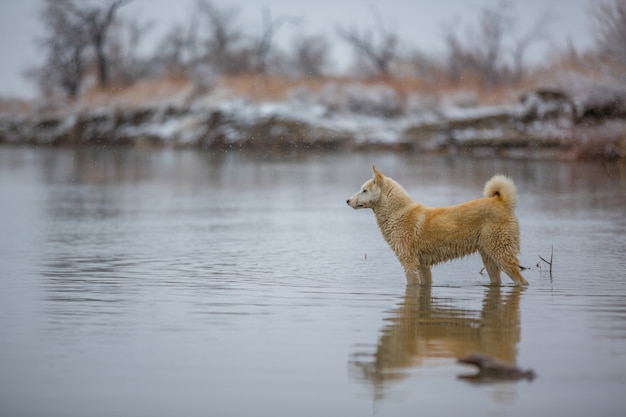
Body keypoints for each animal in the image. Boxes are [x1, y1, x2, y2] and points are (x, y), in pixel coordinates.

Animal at [346, 166, 528, 286]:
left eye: (364, 190)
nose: (347, 200)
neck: (397, 213)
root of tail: (501, 202)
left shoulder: (409, 262)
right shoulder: (423, 266)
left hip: (501, 254)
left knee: (521, 280)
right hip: (489, 259)